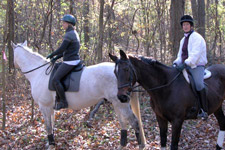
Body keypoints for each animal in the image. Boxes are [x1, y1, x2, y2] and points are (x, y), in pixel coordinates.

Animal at [11, 40, 147, 149]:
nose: (12, 67)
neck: (39, 73)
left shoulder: (44, 107)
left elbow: (48, 126)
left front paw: (50, 145)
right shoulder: (50, 107)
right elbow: (52, 124)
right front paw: (51, 143)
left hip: (121, 103)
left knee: (134, 123)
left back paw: (140, 145)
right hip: (117, 103)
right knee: (124, 124)